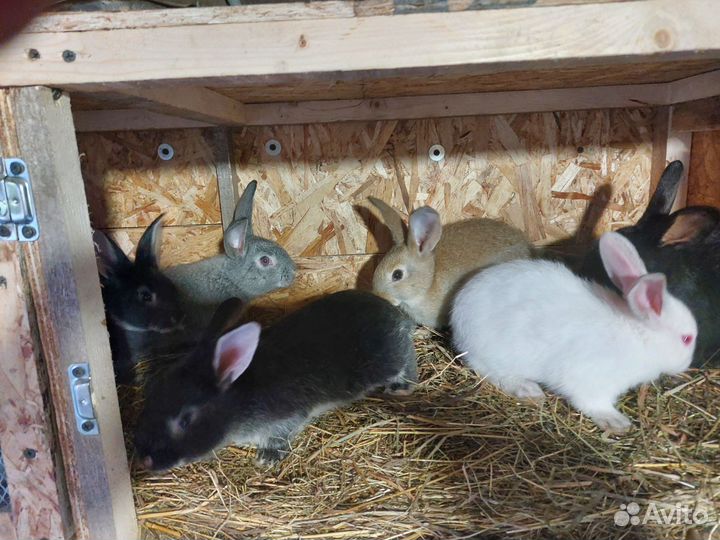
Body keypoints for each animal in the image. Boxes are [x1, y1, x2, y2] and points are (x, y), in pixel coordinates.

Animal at [134, 289, 417, 471]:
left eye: (185, 420)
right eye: (152, 393)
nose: (145, 460)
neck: (237, 401)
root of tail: (393, 313)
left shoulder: (287, 417)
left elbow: (281, 435)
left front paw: (267, 458)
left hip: (389, 360)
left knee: (407, 357)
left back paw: (402, 387)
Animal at [451, 231, 697, 433]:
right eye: (686, 339)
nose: (686, 365)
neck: (638, 336)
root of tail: (459, 314)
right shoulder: (590, 378)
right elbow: (593, 402)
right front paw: (616, 422)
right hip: (495, 353)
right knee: (489, 371)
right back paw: (526, 389)